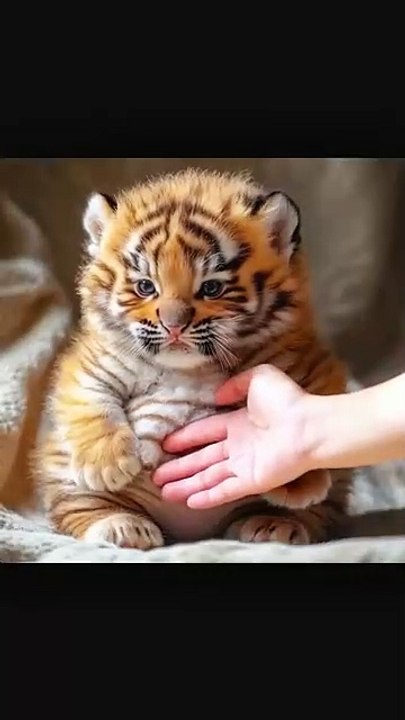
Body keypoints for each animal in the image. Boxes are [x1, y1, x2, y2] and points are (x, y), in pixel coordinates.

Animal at [33, 168, 350, 549]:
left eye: (211, 288)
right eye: (145, 287)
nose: (173, 325)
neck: (188, 369)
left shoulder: (306, 363)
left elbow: (303, 413)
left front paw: (299, 478)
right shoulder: (97, 360)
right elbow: (92, 398)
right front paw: (107, 464)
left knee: (313, 514)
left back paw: (276, 524)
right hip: (63, 471)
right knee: (80, 507)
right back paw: (123, 526)